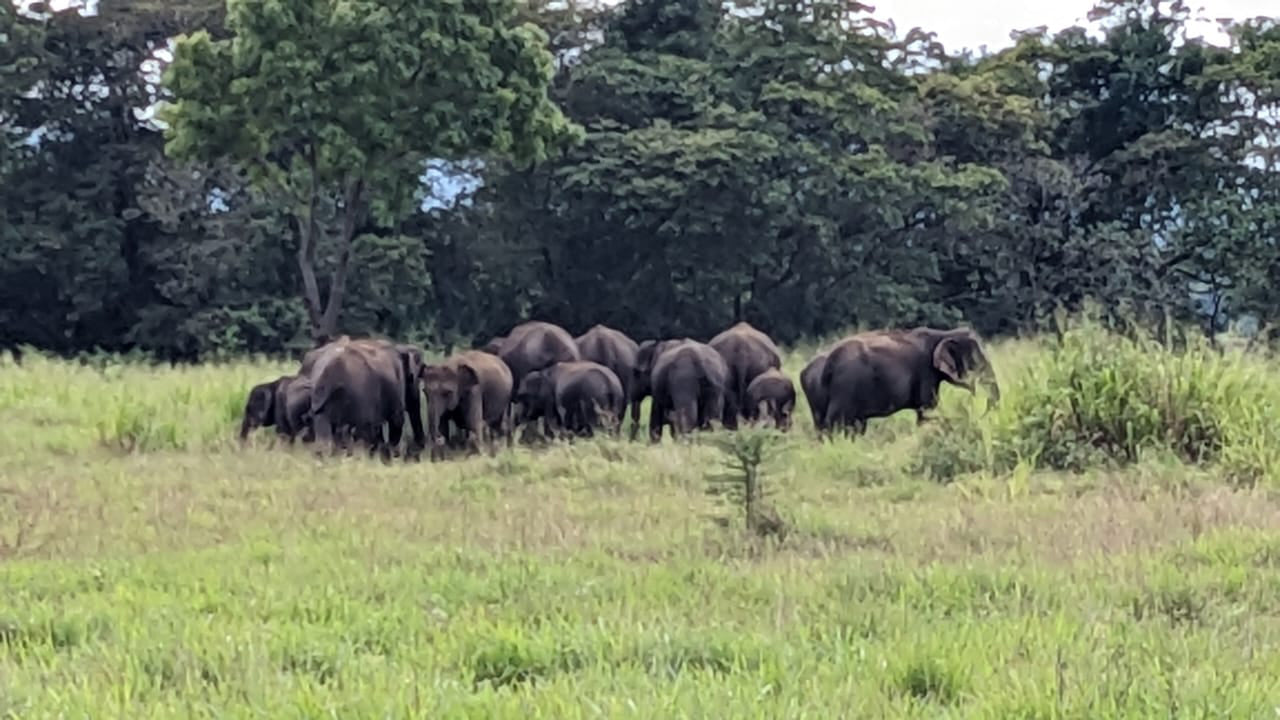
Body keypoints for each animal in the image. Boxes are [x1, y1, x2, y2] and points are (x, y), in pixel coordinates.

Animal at [819, 325, 998, 430]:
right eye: (978, 362)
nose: (979, 418)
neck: (943, 333)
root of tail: (828, 364)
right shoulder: (925, 372)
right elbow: (927, 409)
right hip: (845, 387)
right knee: (836, 421)